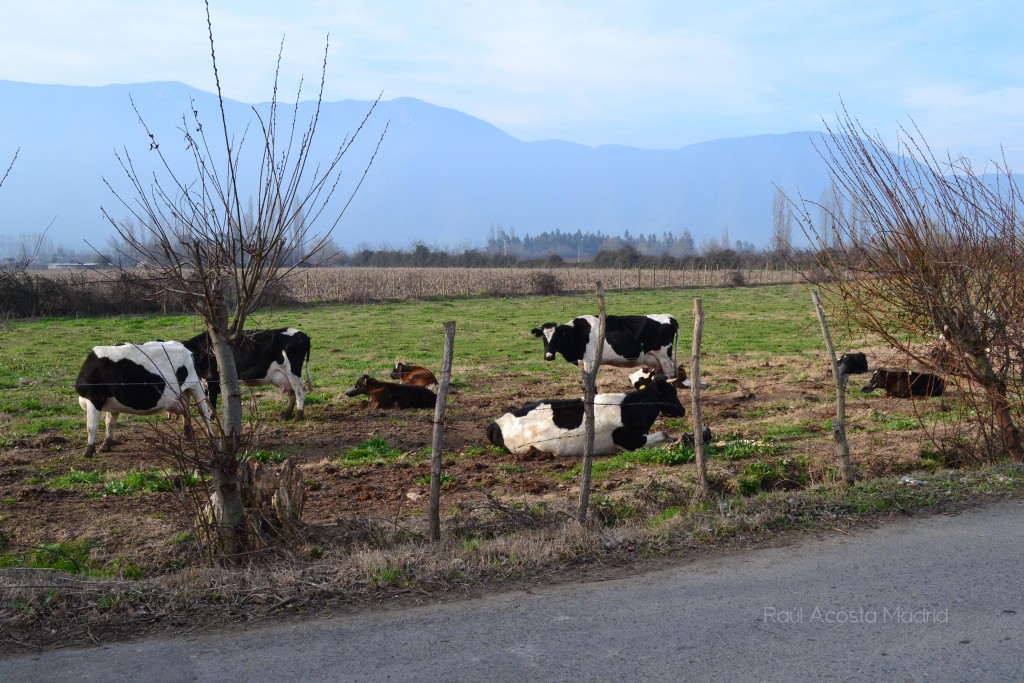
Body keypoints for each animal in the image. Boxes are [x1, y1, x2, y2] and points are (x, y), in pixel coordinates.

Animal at [75, 339, 214, 456]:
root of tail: (186, 348)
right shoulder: (112, 404)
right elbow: (109, 423)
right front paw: (106, 445)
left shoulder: (94, 397)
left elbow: (91, 426)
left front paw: (88, 451)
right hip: (183, 393)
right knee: (187, 412)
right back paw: (188, 438)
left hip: (197, 386)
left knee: (204, 414)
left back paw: (212, 440)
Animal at [182, 327, 311, 419]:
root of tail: (303, 335)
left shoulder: (212, 378)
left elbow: (212, 401)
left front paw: (212, 418)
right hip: (285, 377)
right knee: (292, 393)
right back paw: (286, 415)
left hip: (292, 372)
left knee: (300, 390)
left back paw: (298, 416)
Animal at [483, 374, 684, 458]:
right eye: (670, 393)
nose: (683, 410)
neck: (629, 409)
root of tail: (496, 423)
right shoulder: (629, 441)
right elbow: (664, 433)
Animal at [528, 315, 679, 378]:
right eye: (543, 338)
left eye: (557, 337)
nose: (548, 356)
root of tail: (670, 317)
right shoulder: (581, 363)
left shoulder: (590, 361)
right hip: (656, 361)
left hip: (665, 358)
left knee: (669, 377)